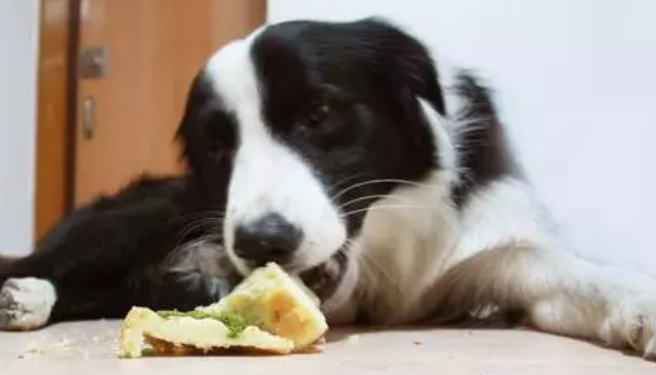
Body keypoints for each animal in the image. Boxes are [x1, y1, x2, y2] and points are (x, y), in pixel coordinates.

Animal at [1, 19, 656, 360]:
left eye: (318, 114)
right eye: (218, 146)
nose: (261, 243)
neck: (387, 248)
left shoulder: (496, 258)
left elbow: (581, 277)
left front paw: (641, 306)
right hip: (143, 215)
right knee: (44, 263)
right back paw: (25, 295)